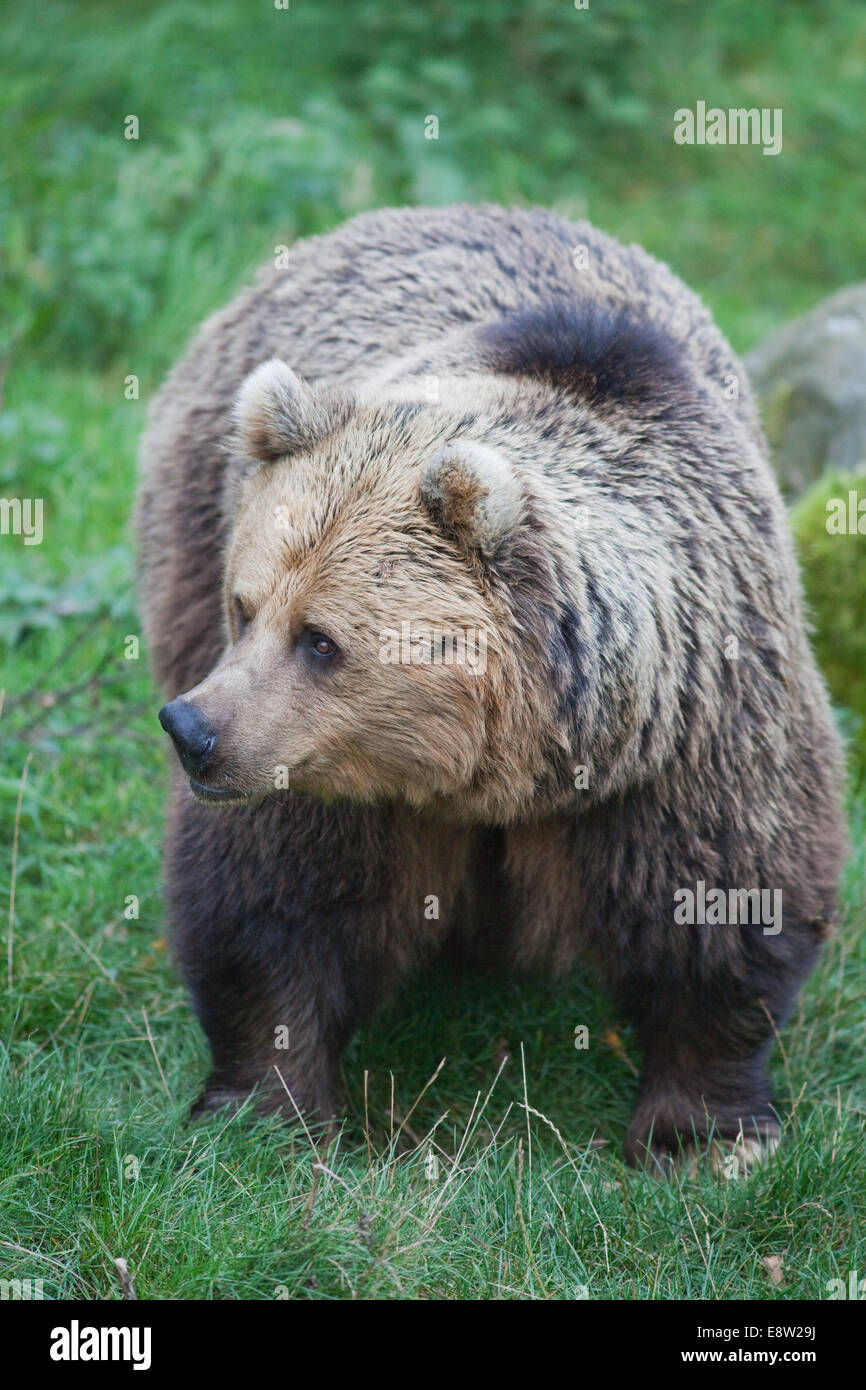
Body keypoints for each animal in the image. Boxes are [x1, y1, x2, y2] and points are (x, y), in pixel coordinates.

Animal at [136, 201, 845, 1167]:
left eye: (321, 640)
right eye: (244, 607)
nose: (194, 731)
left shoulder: (691, 736)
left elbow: (726, 898)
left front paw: (705, 1135)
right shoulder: (325, 774)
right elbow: (272, 901)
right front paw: (264, 1106)